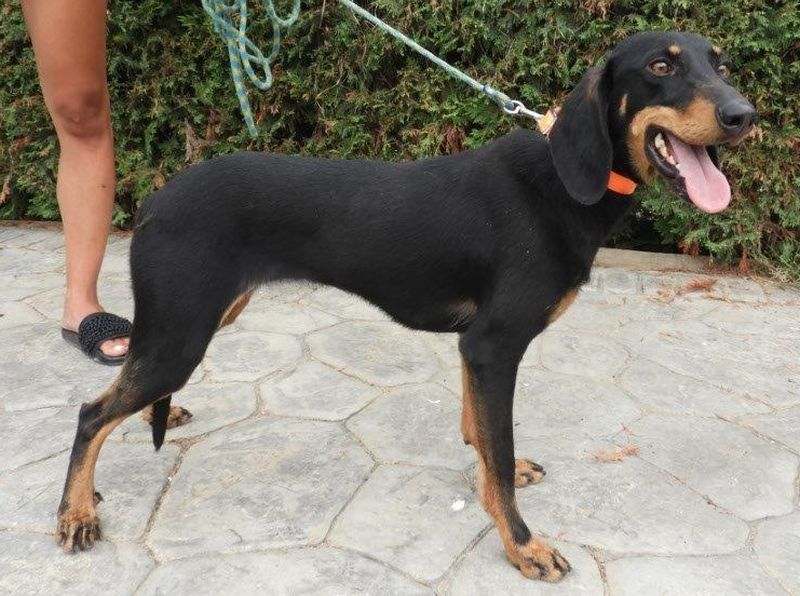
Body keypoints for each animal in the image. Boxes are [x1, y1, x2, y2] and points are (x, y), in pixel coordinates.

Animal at [55, 31, 755, 581]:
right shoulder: (495, 345)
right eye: (660, 67)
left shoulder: (476, 350)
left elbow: (483, 438)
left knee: (122, 394)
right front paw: (523, 546)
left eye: (720, 65)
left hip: (196, 320)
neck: (559, 182)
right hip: (182, 333)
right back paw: (76, 512)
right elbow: (498, 456)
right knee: (92, 413)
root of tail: (153, 202)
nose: (744, 116)